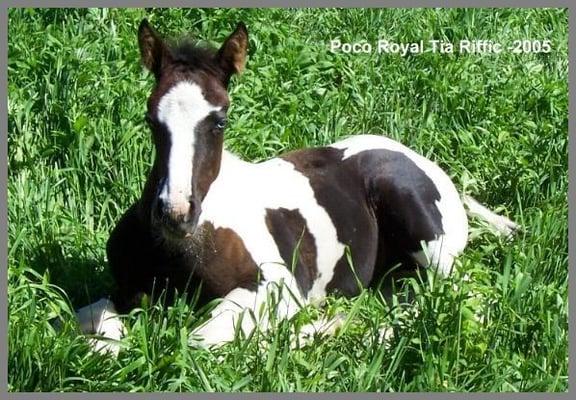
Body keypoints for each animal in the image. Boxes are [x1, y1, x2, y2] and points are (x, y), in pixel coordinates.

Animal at [75, 21, 516, 354]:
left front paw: (295, 334)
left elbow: (201, 339)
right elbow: (91, 323)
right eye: (151, 119)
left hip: (434, 248)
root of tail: (433, 169)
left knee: (465, 301)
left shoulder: (277, 288)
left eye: (220, 120)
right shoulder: (123, 289)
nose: (175, 213)